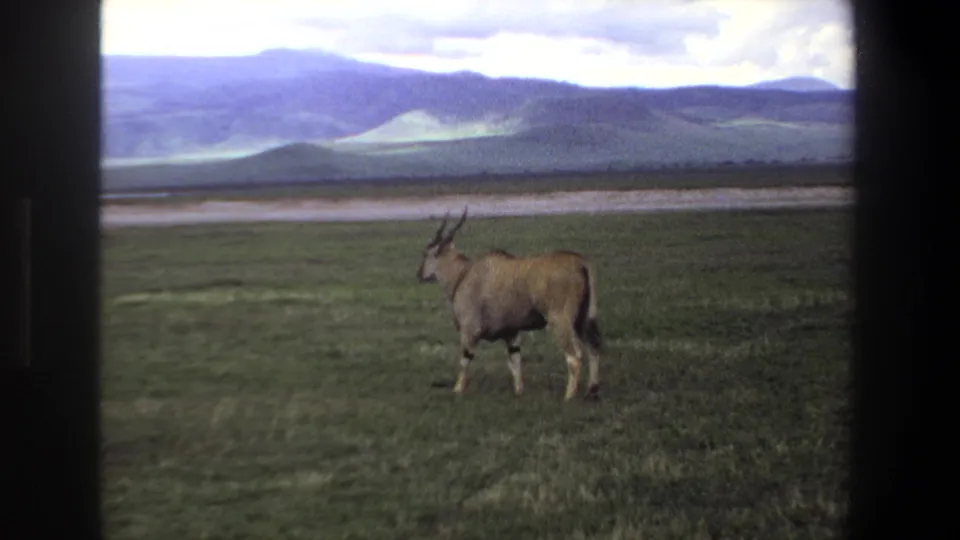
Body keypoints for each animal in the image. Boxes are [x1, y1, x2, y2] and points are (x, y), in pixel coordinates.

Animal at [416, 207, 603, 401]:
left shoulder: (470, 330)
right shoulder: (511, 333)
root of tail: (581, 263)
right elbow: (515, 361)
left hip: (560, 320)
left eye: (425, 254)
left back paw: (569, 396)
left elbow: (465, 359)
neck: (463, 274)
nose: (419, 274)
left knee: (575, 356)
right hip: (583, 319)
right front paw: (519, 391)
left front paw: (458, 389)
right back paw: (592, 390)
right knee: (594, 346)